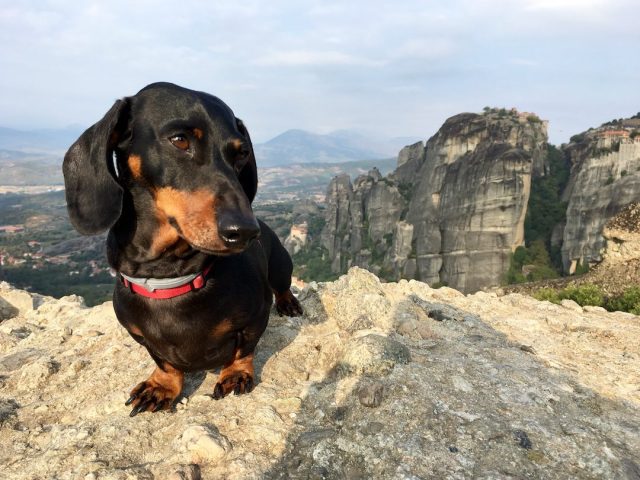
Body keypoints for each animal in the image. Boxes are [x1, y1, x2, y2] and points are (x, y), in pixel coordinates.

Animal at [64, 82, 302, 416]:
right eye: (179, 140)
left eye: (242, 152)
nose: (245, 231)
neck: (168, 275)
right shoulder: (139, 335)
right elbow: (164, 361)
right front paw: (161, 386)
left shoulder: (255, 318)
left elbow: (245, 349)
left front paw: (235, 374)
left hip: (281, 266)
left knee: (282, 286)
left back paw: (289, 303)